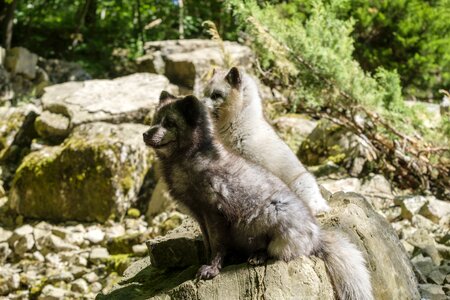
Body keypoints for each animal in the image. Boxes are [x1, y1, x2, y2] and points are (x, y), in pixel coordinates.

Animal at [143, 92, 372, 298]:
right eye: (154, 121)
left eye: (169, 123)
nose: (145, 134)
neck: (189, 159)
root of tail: (317, 235)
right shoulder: (199, 214)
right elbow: (208, 243)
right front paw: (203, 263)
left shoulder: (214, 211)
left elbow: (217, 245)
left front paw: (212, 268)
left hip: (274, 212)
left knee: (276, 250)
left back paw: (258, 256)